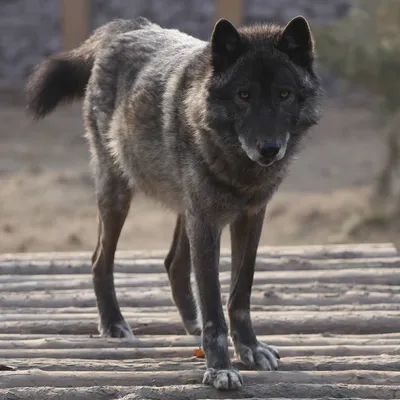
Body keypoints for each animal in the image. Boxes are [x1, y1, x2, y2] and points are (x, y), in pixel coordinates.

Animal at [25, 16, 322, 390]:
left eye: (284, 94)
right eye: (244, 95)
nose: (269, 148)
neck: (239, 169)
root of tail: (126, 26)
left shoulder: (250, 217)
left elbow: (240, 293)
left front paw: (249, 349)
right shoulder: (206, 223)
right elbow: (213, 304)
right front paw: (220, 368)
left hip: (184, 209)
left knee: (173, 262)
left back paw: (191, 326)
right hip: (118, 195)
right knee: (99, 261)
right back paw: (114, 325)